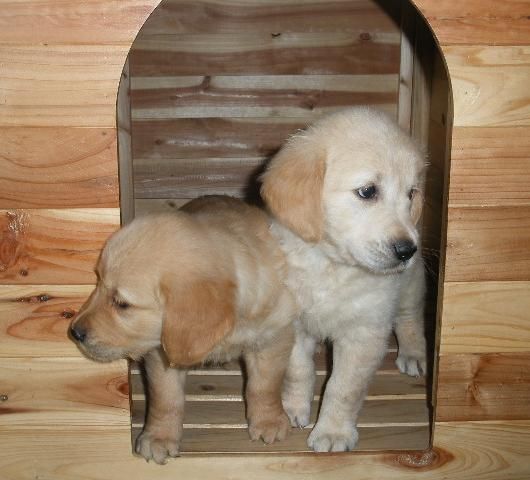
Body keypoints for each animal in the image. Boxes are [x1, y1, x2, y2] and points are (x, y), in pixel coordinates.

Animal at [68, 196, 294, 464]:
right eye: (98, 281)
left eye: (121, 303)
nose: (75, 332)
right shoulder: (162, 352)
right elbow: (166, 399)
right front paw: (159, 437)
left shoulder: (274, 335)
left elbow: (265, 386)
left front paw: (269, 420)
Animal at [262, 107, 426, 452]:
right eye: (367, 191)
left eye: (411, 194)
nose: (407, 249)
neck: (333, 266)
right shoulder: (293, 322)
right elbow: (297, 369)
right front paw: (292, 408)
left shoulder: (364, 332)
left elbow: (343, 388)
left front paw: (333, 432)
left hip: (411, 284)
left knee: (410, 318)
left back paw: (413, 354)